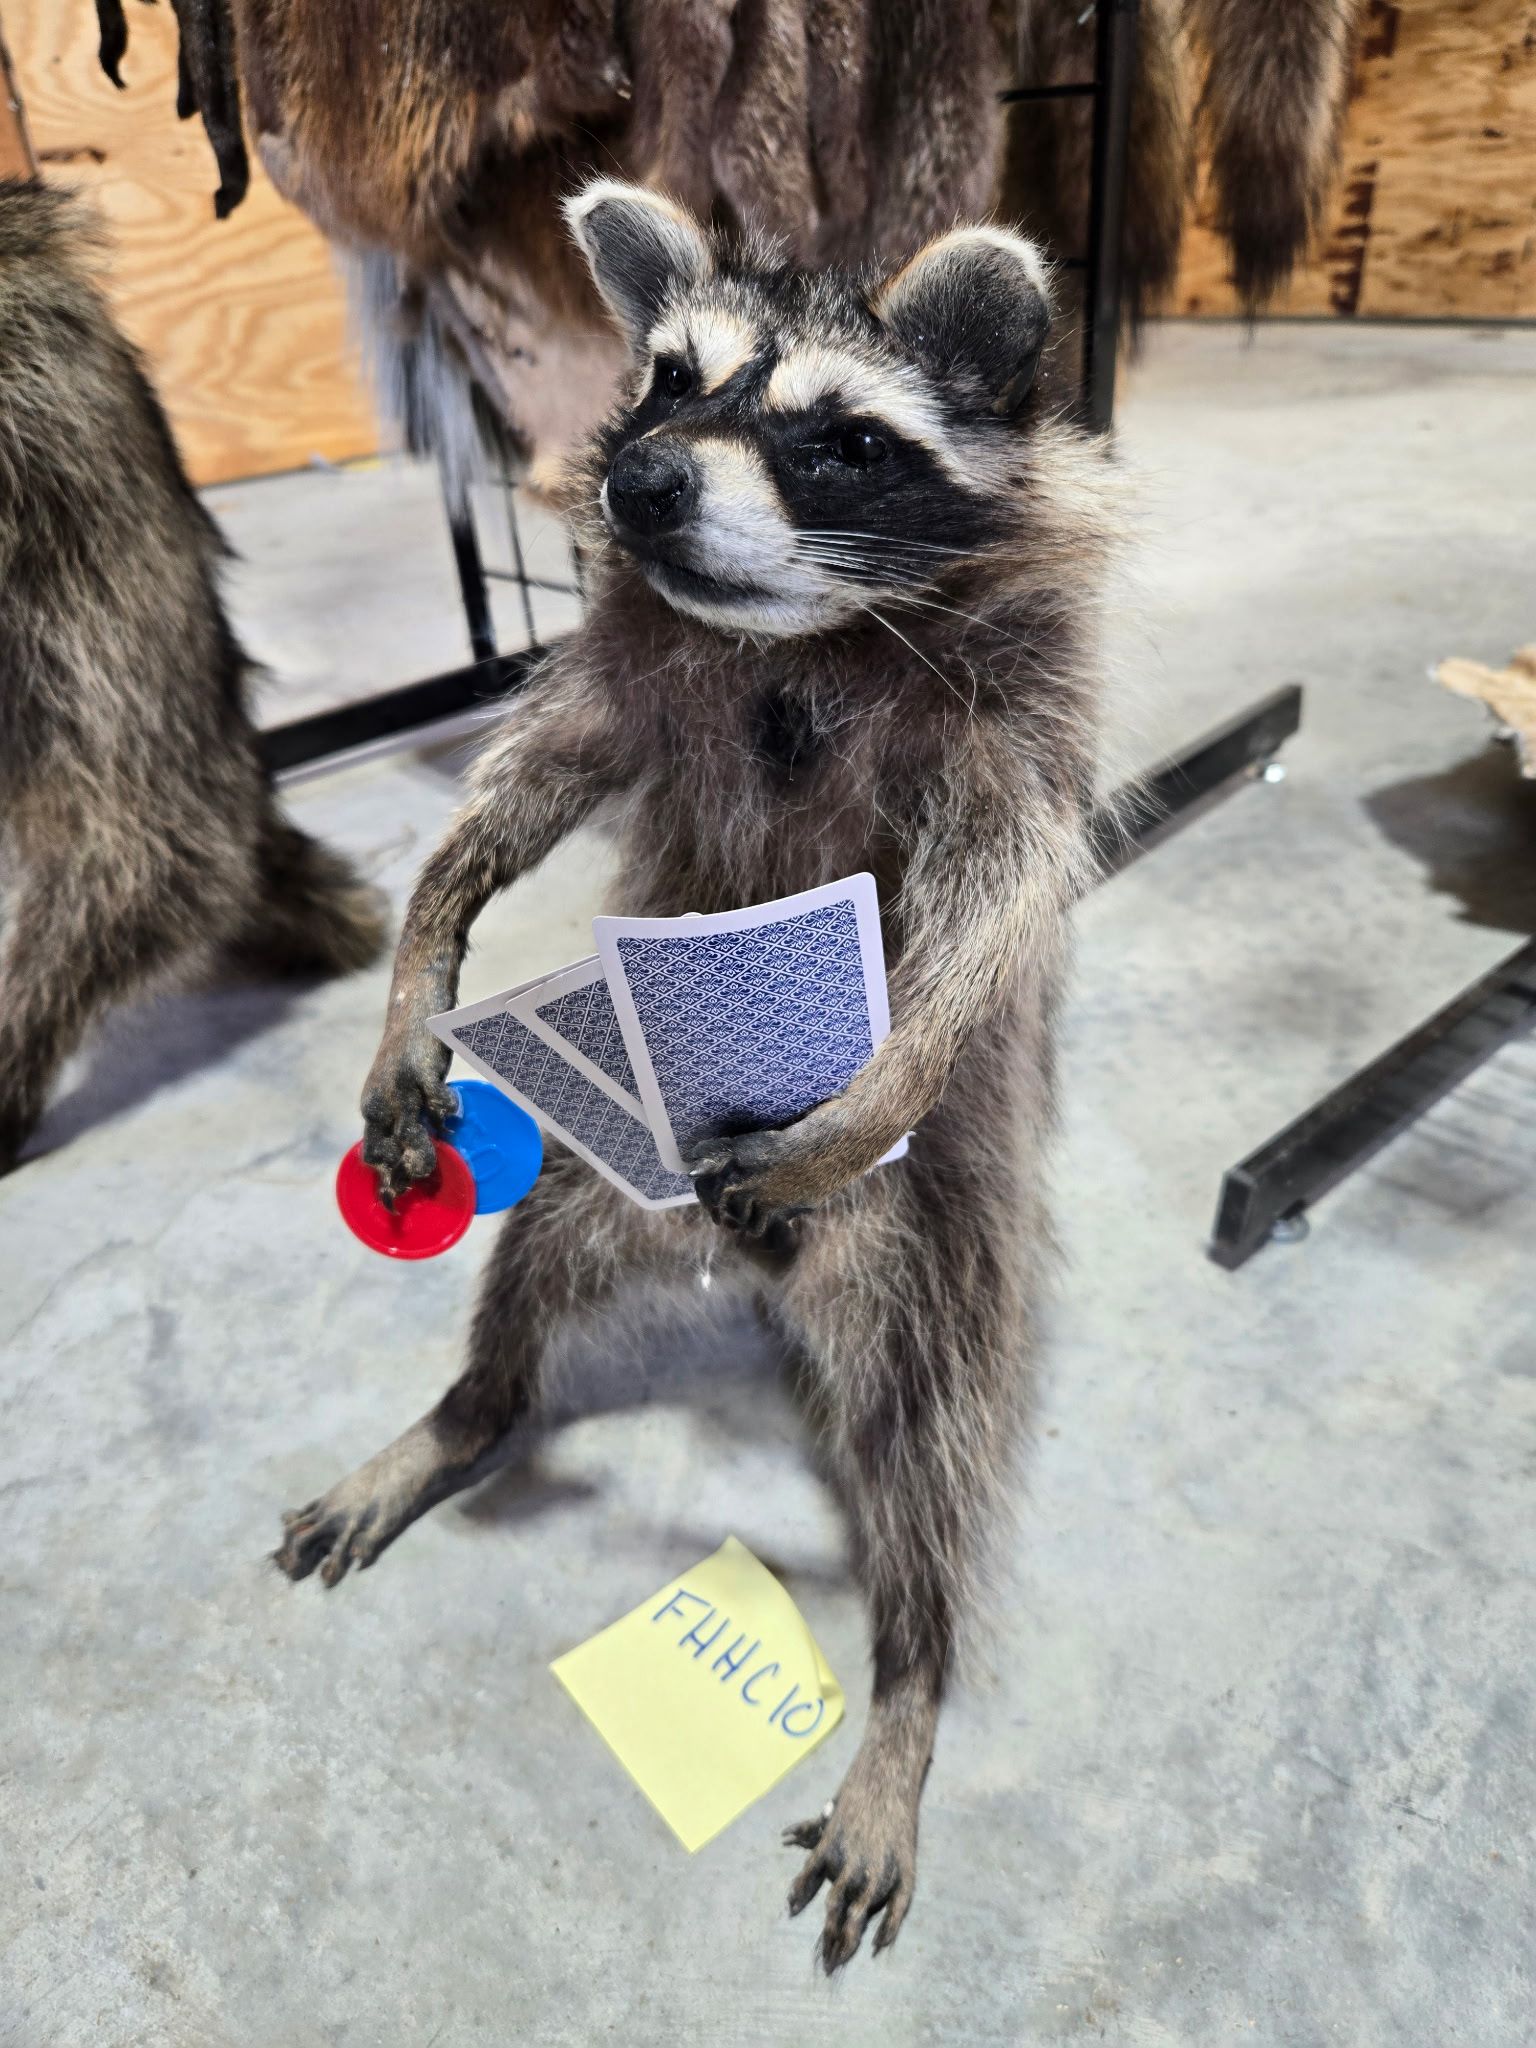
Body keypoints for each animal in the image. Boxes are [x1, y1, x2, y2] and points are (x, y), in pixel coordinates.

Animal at [274, 180, 1118, 1969]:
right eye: (669, 378)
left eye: (842, 439)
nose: (646, 479)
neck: (794, 636)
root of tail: (759, 1273)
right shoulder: (624, 678)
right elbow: (505, 805)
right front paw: (419, 970)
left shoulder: (1012, 727)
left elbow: (993, 913)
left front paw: (885, 1073)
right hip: (600, 1198)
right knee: (522, 1287)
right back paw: (459, 1418)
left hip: (938, 1248)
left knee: (934, 1435)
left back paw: (914, 1671)